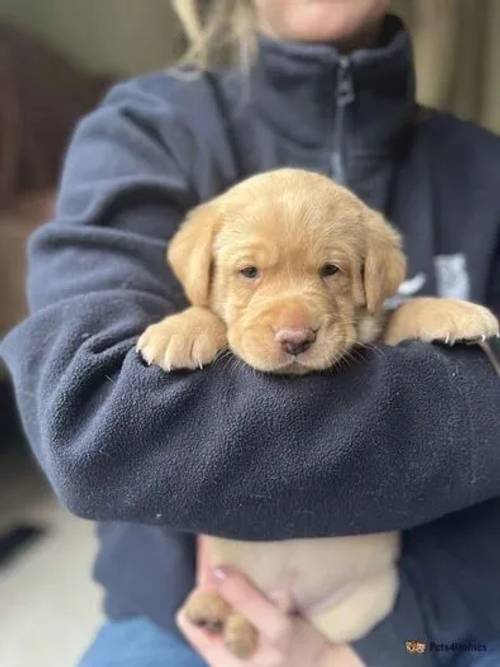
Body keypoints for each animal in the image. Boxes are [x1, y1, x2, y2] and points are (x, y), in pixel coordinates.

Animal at [138, 170, 500, 660]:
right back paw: (213, 609)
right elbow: (208, 312)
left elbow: (402, 309)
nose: (296, 338)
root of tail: (286, 597)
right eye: (249, 272)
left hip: (360, 607)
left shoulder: (377, 334)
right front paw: (182, 327)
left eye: (331, 270)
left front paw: (452, 311)